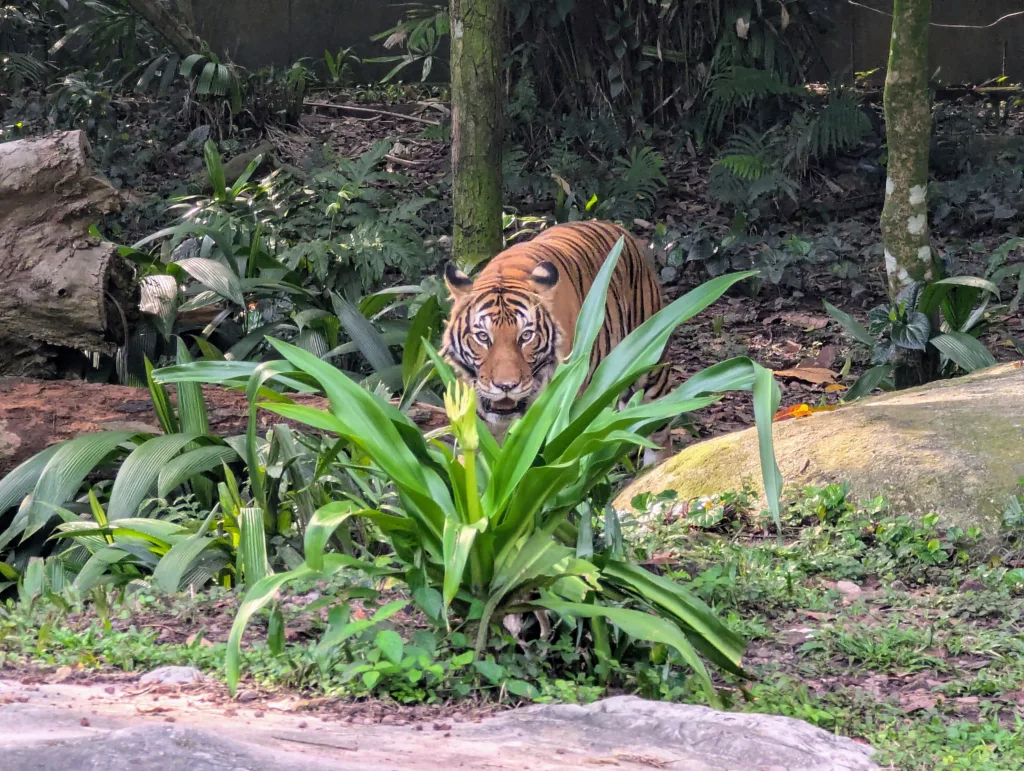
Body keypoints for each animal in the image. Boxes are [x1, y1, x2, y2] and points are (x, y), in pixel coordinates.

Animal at [441, 219, 674, 465]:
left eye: (526, 336)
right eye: (483, 337)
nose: (506, 387)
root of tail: (619, 228)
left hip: (651, 370)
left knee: (659, 428)